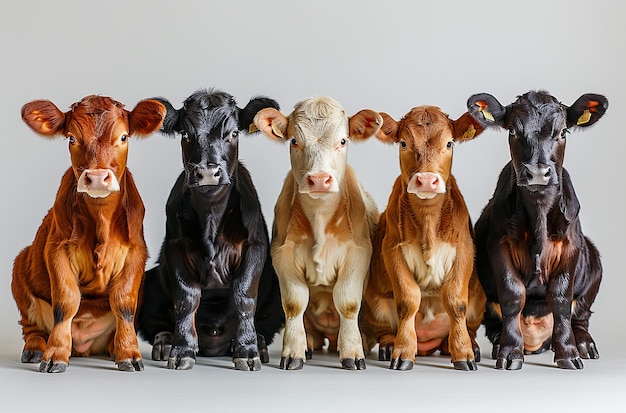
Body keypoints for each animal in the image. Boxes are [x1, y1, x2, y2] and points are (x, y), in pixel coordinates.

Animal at [13, 95, 165, 372]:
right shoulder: (56, 249)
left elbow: (124, 304)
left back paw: (114, 347)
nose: (96, 177)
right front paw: (55, 354)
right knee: (31, 326)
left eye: (123, 137)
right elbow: (65, 302)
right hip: (19, 271)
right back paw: (36, 348)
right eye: (71, 138)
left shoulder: (137, 253)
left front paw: (128, 352)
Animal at [138, 87, 284, 370]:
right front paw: (182, 350)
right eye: (185, 134)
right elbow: (186, 298)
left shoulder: (255, 246)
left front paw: (247, 350)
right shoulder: (175, 247)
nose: (207, 172)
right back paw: (164, 342)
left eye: (234, 133)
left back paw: (259, 343)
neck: (211, 215)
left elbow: (244, 295)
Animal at [254, 97, 380, 370]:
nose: (320, 179)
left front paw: (353, 352)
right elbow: (294, 303)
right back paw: (309, 344)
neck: (320, 216)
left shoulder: (359, 253)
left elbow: (348, 303)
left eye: (342, 140)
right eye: (294, 140)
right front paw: (293, 352)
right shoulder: (282, 254)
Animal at [358, 106, 486, 370]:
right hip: (373, 305)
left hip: (479, 300)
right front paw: (402, 352)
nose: (426, 180)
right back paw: (389, 344)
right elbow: (407, 300)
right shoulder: (392, 250)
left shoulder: (465, 249)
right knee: (384, 328)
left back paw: (467, 345)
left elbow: (456, 301)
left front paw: (464, 353)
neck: (428, 221)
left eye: (449, 143)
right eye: (403, 143)